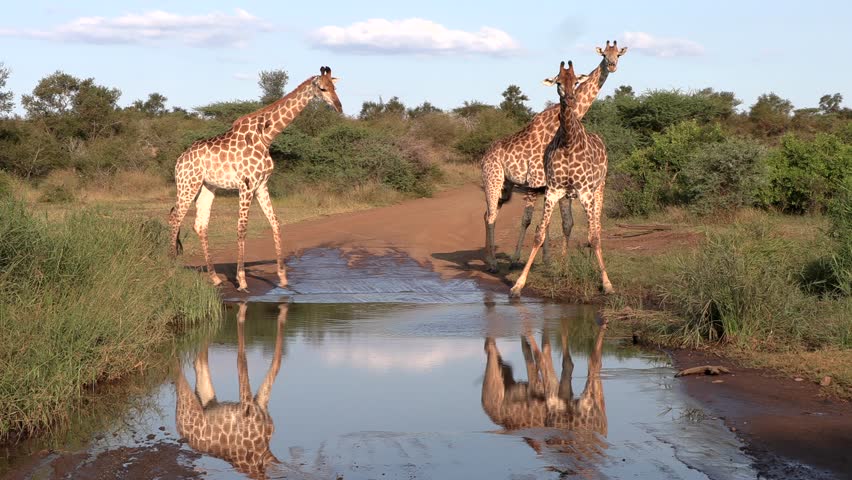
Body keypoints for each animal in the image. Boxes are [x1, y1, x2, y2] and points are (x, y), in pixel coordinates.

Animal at [169, 67, 342, 292]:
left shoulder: (261, 185)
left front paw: (283, 277)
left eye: (334, 87)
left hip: (208, 186)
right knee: (175, 217)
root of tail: (179, 160)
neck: (266, 137)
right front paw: (241, 280)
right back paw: (171, 268)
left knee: (199, 224)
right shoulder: (246, 185)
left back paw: (214, 278)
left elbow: (275, 222)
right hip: (188, 184)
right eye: (322, 88)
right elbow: (242, 229)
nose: (339, 107)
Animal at [482, 41, 627, 273]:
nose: (612, 65)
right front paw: (515, 260)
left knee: (488, 213)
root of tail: (484, 156)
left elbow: (552, 223)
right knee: (492, 215)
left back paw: (489, 258)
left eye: (618, 54)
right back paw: (493, 263)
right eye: (604, 55)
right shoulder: (536, 180)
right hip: (492, 179)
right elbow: (528, 220)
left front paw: (548, 260)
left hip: (507, 186)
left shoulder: (548, 184)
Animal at [510, 60, 614, 298]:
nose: (570, 100)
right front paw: (518, 285)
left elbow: (594, 236)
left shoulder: (585, 191)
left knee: (596, 227)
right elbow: (539, 234)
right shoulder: (553, 191)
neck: (568, 142)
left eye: (576, 81)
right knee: (570, 225)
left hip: (599, 188)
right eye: (558, 82)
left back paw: (594, 264)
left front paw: (607, 283)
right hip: (568, 195)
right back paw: (566, 266)